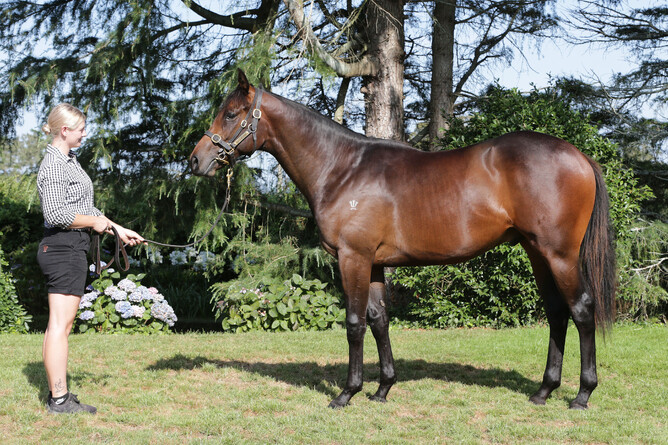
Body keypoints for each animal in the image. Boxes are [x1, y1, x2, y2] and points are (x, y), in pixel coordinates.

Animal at [189, 70, 616, 410]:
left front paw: (347, 393)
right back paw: (544, 391)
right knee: (557, 312)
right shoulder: (375, 263)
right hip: (536, 252)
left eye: (231, 114)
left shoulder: (353, 257)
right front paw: (382, 389)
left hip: (559, 255)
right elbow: (379, 321)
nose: (195, 160)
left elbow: (354, 323)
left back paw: (582, 395)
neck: (342, 168)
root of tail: (579, 156)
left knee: (581, 309)